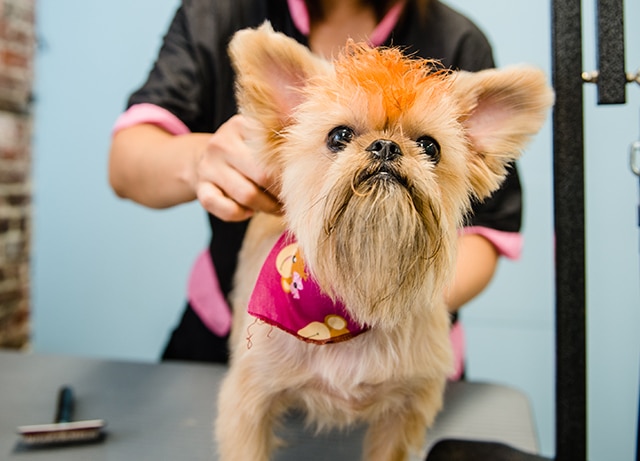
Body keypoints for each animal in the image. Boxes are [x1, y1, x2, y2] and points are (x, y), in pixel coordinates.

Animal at [216, 22, 556, 460]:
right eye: (339, 136)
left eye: (430, 146)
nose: (386, 146)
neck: (359, 293)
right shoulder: (248, 404)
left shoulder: (404, 414)